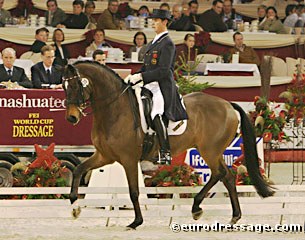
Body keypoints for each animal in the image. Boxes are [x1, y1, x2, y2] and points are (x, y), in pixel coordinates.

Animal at [61, 61, 274, 229]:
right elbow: (79, 170)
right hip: (213, 151)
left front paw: (136, 222)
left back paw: (198, 208)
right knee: (227, 176)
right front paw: (75, 207)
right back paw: (232, 216)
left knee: (220, 173)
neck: (115, 109)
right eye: (64, 86)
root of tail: (228, 104)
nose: (72, 118)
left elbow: (134, 191)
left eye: (76, 85)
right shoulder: (104, 156)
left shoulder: (128, 159)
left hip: (210, 151)